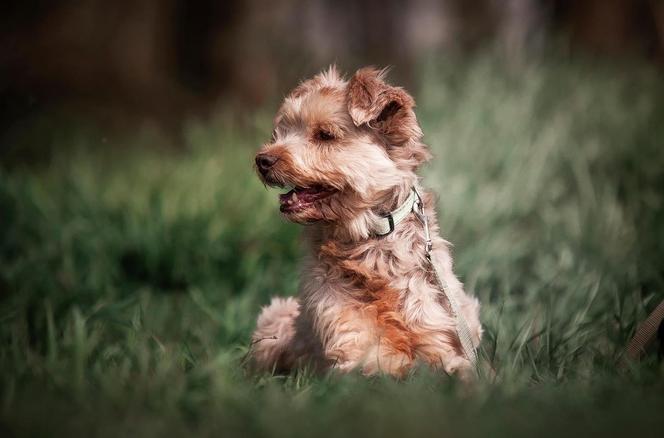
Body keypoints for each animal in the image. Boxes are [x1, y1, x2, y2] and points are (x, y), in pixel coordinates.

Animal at [249, 66, 482, 378]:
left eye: (325, 135)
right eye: (281, 131)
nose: (262, 159)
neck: (368, 244)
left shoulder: (441, 336)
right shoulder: (355, 349)